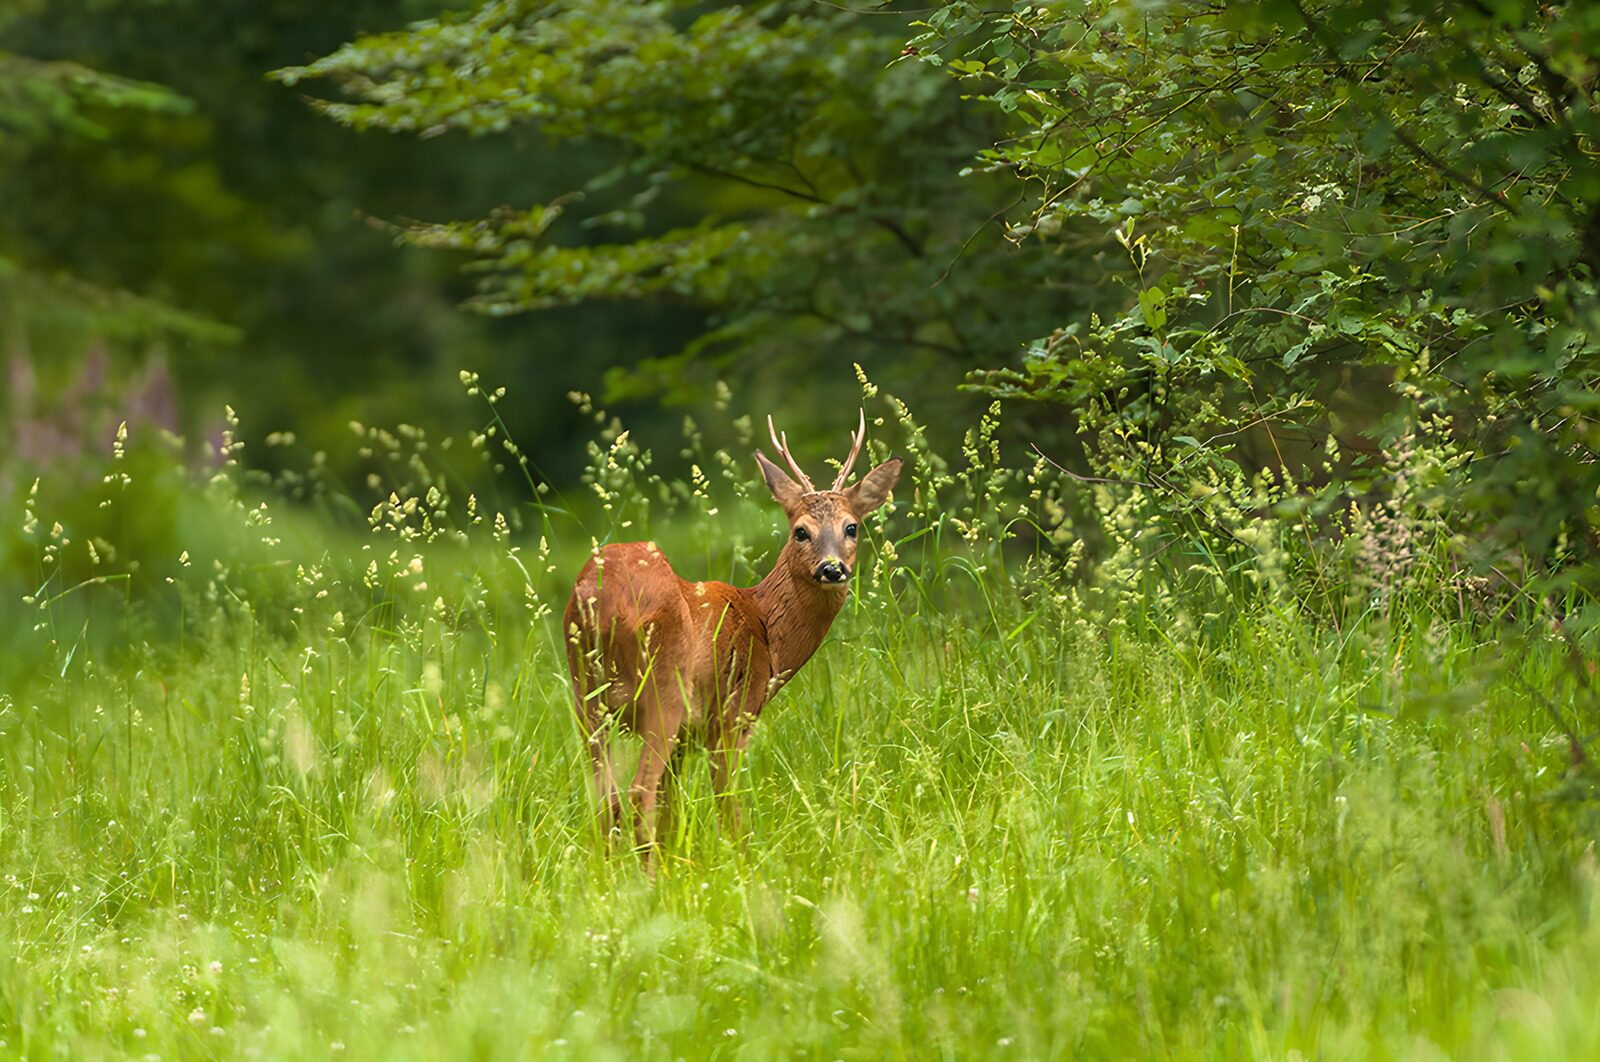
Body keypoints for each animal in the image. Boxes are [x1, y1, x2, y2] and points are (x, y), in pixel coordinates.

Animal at [563, 410, 903, 872]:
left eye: (852, 527)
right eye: (800, 531)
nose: (832, 568)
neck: (765, 629)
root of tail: (600, 599)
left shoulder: (687, 738)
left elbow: (672, 810)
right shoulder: (731, 716)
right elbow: (727, 801)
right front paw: (744, 865)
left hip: (587, 696)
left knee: (605, 798)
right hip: (663, 691)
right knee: (635, 794)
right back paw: (648, 879)